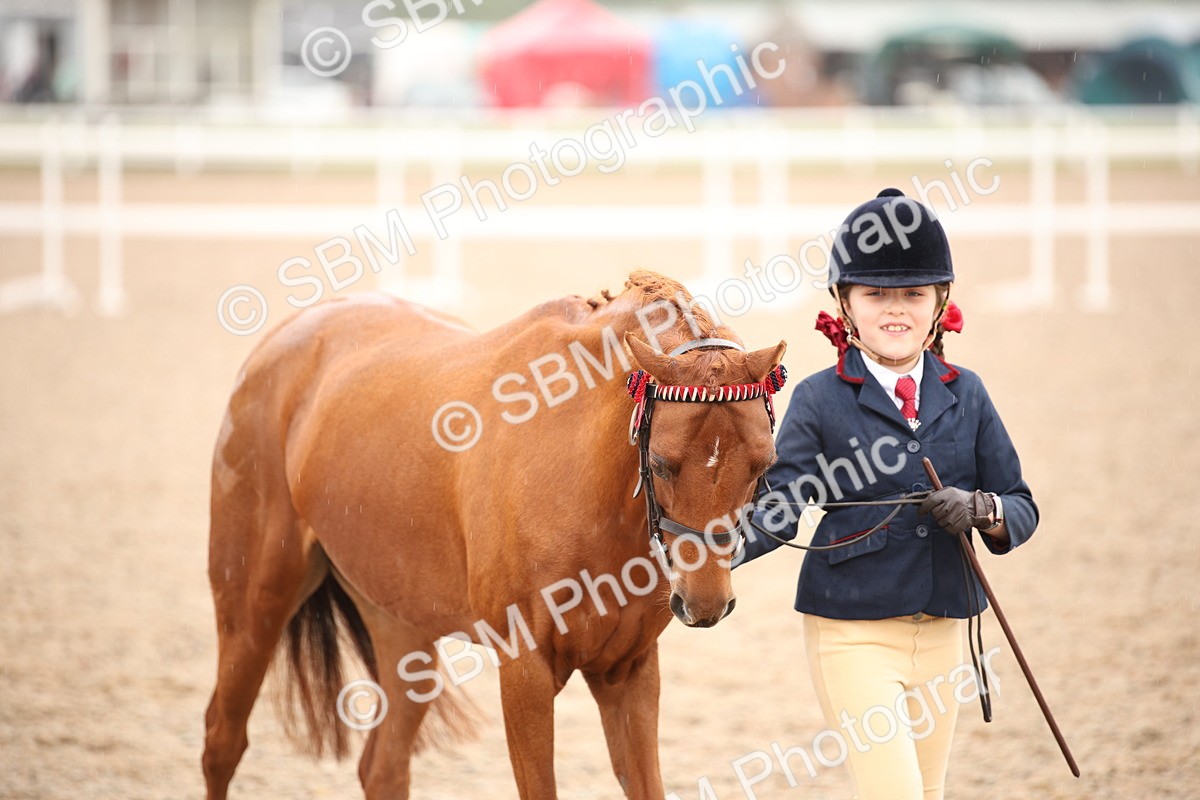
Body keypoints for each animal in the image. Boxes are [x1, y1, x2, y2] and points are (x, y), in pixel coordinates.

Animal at [202, 270, 787, 799]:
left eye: (764, 466)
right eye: (662, 464)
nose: (705, 604)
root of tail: (289, 334)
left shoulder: (629, 672)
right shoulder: (526, 673)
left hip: (402, 626)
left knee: (382, 768)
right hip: (254, 609)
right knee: (222, 743)